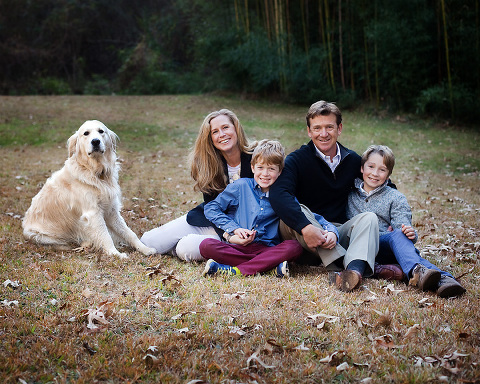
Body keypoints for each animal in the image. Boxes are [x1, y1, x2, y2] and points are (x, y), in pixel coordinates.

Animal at [21, 118, 157, 260]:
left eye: (101, 131)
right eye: (86, 133)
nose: (95, 141)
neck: (96, 172)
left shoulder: (112, 211)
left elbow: (129, 233)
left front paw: (145, 249)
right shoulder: (93, 213)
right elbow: (105, 236)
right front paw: (115, 254)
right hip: (38, 235)